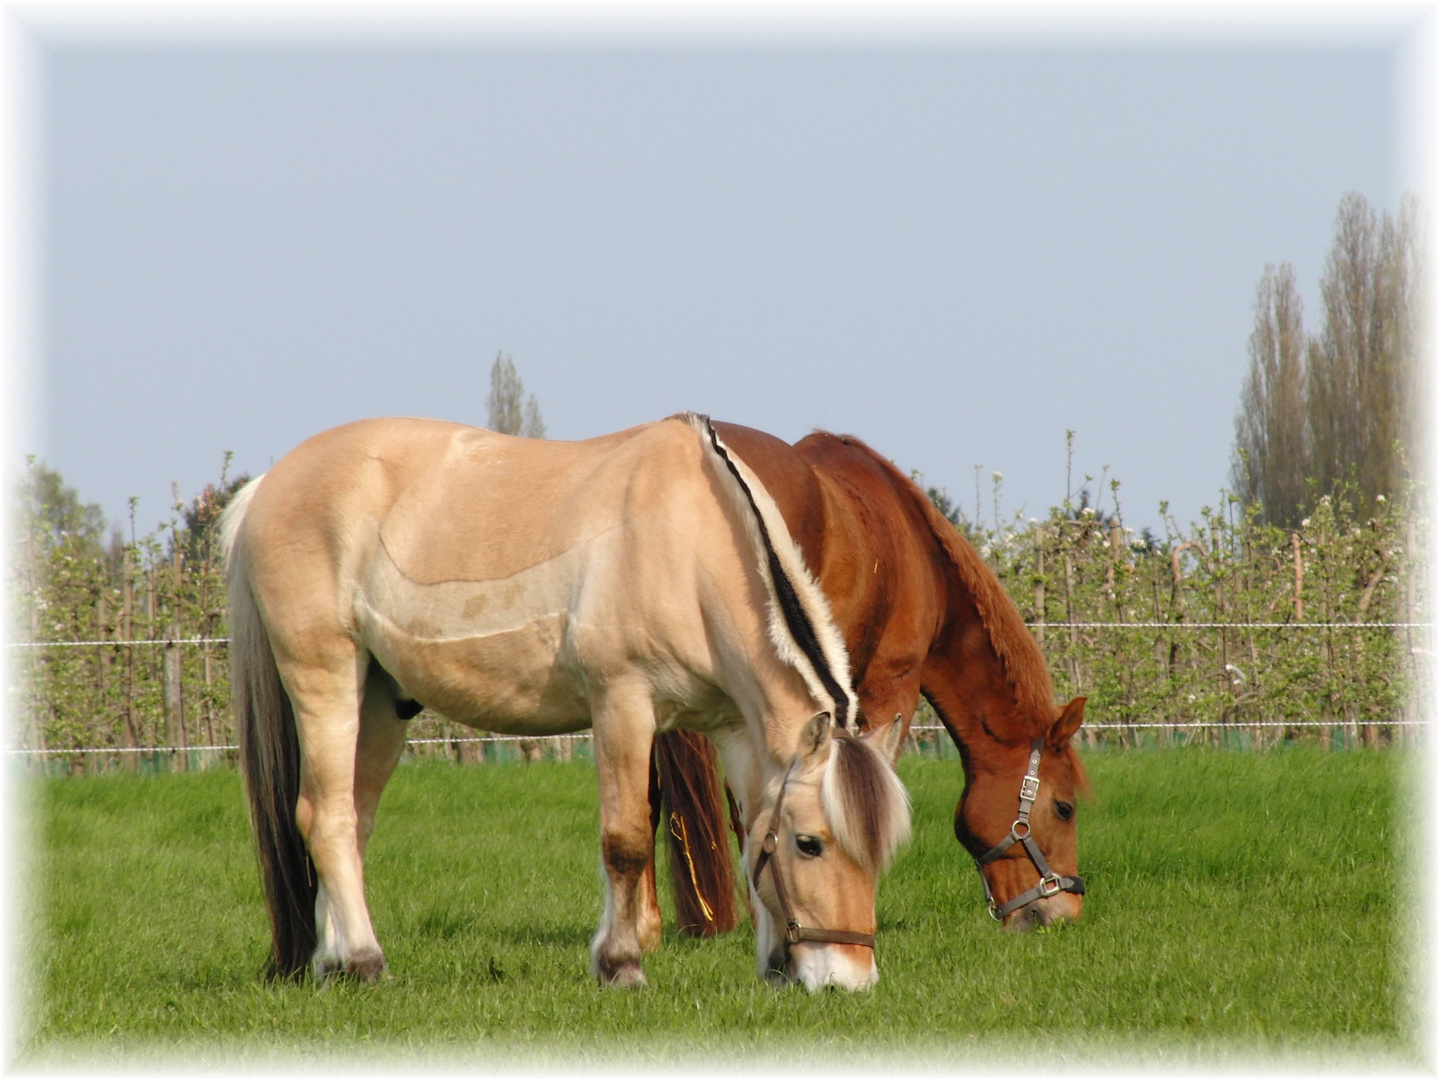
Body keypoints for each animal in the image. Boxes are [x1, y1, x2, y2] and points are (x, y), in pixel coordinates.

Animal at [218, 417, 904, 996]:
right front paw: (621, 965)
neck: (686, 545)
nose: (850, 981)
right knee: (324, 817)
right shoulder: (622, 705)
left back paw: (332, 962)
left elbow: (748, 831)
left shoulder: (734, 728)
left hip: (382, 702)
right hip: (325, 678)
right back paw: (363, 961)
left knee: (353, 820)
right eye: (811, 844)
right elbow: (625, 841)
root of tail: (266, 488)